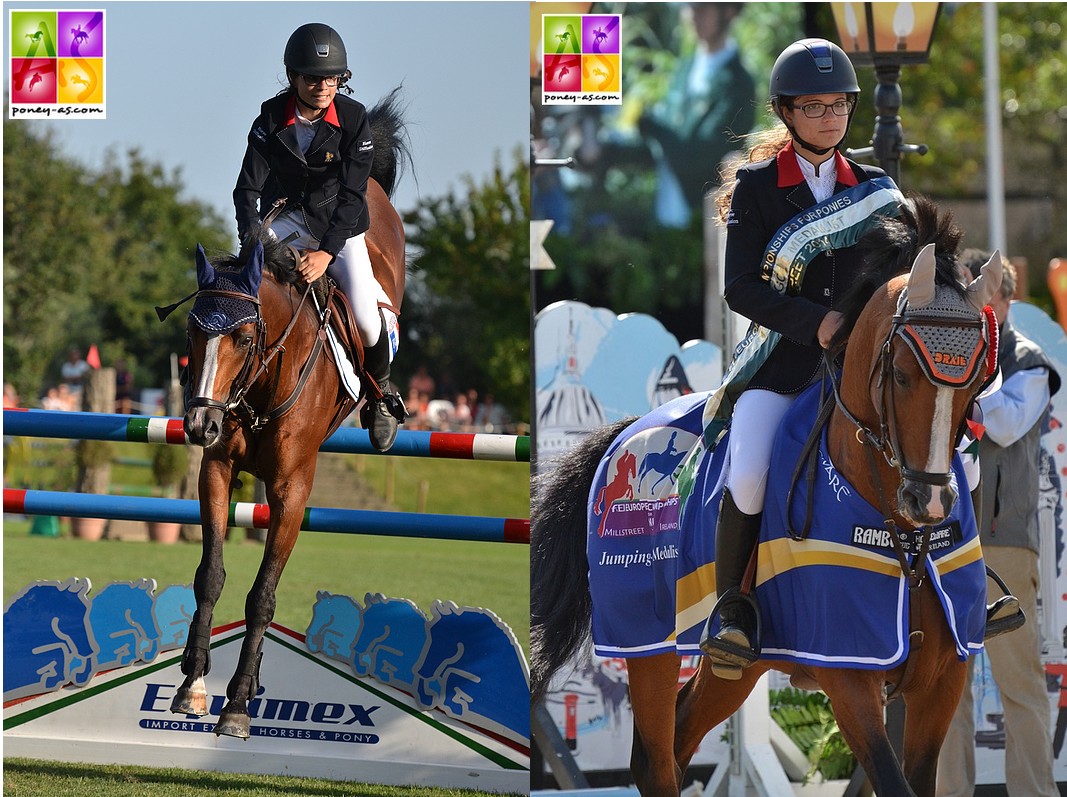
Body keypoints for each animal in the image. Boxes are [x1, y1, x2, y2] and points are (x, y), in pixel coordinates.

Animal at [157, 89, 407, 742]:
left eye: (245, 338)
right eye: (193, 335)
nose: (200, 425)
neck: (262, 386)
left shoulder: (293, 488)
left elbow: (263, 595)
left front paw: (239, 704)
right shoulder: (217, 471)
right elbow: (211, 575)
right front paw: (194, 686)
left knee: (379, 323)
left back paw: (384, 413)